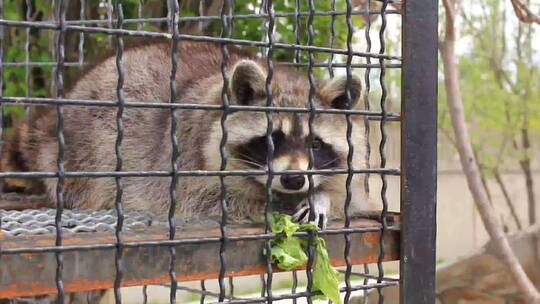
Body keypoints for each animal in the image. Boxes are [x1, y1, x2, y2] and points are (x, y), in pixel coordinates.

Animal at [2, 41, 376, 229]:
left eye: (315, 143)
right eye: (271, 139)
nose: (294, 180)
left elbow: (352, 198)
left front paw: (321, 197)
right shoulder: (182, 162)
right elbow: (205, 199)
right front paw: (276, 204)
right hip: (89, 143)